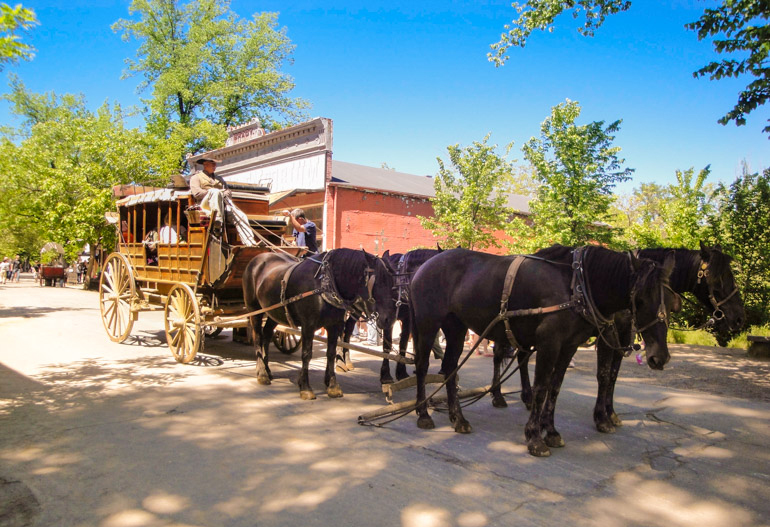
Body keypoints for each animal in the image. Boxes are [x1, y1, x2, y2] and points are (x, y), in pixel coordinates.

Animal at [242, 250, 396, 402]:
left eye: (392, 283)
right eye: (378, 283)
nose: (389, 319)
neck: (324, 284)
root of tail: (258, 258)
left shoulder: (334, 325)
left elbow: (331, 353)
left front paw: (332, 386)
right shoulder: (308, 325)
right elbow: (306, 354)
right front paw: (305, 387)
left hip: (274, 312)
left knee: (267, 334)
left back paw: (267, 369)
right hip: (254, 310)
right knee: (258, 337)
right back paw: (262, 373)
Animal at [408, 245, 680, 456]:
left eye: (670, 301)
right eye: (641, 300)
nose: (660, 357)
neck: (575, 285)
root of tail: (425, 265)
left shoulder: (568, 346)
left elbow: (556, 387)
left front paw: (551, 431)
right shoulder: (550, 343)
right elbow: (542, 388)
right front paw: (534, 437)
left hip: (456, 326)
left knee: (450, 367)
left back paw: (458, 418)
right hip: (428, 323)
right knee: (422, 365)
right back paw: (423, 413)